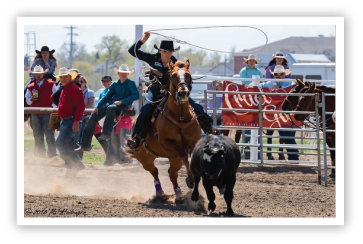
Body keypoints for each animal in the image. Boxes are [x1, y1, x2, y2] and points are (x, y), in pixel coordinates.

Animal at [128, 59, 202, 198]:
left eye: (188, 75)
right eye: (172, 76)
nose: (183, 93)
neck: (180, 117)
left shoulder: (194, 142)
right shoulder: (166, 143)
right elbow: (184, 154)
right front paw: (190, 179)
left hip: (173, 158)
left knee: (172, 174)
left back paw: (178, 193)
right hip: (144, 158)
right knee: (154, 171)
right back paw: (160, 192)